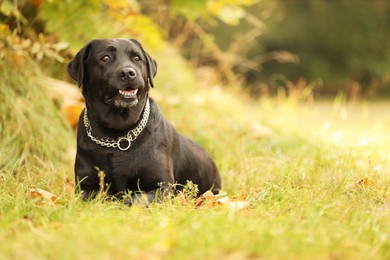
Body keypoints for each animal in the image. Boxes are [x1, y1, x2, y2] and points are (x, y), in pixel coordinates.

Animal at [67, 39, 219, 205]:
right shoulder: (85, 185)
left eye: (137, 58)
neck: (116, 135)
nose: (128, 73)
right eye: (105, 58)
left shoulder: (162, 187)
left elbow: (138, 198)